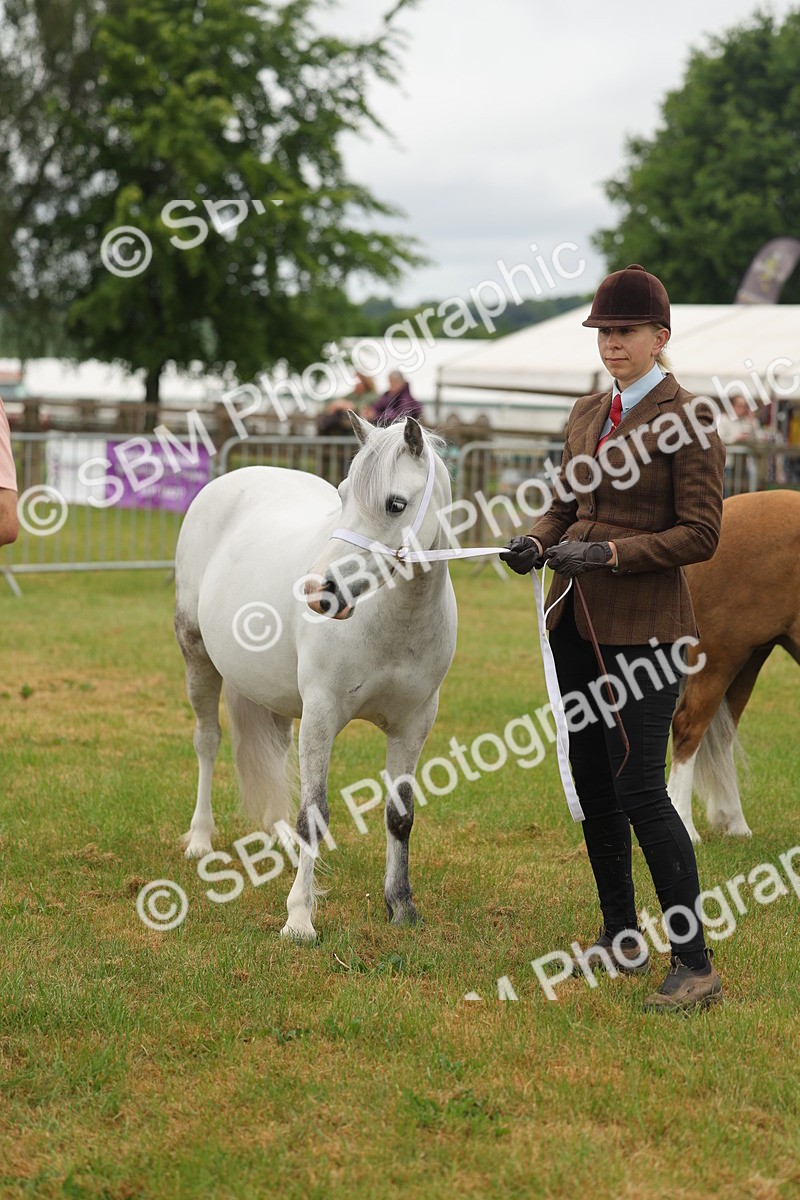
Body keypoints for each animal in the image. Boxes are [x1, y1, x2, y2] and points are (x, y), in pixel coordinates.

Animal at [174, 415, 457, 941]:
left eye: (395, 503)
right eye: (343, 495)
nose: (317, 589)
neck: (394, 620)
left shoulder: (414, 724)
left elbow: (399, 815)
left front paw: (401, 905)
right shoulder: (323, 714)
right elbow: (316, 815)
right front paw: (300, 918)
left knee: (275, 753)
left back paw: (279, 835)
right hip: (196, 657)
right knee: (208, 741)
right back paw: (200, 839)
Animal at [668, 489, 800, 843]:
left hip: (749, 659)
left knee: (723, 735)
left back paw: (735, 823)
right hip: (719, 658)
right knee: (688, 728)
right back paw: (685, 827)